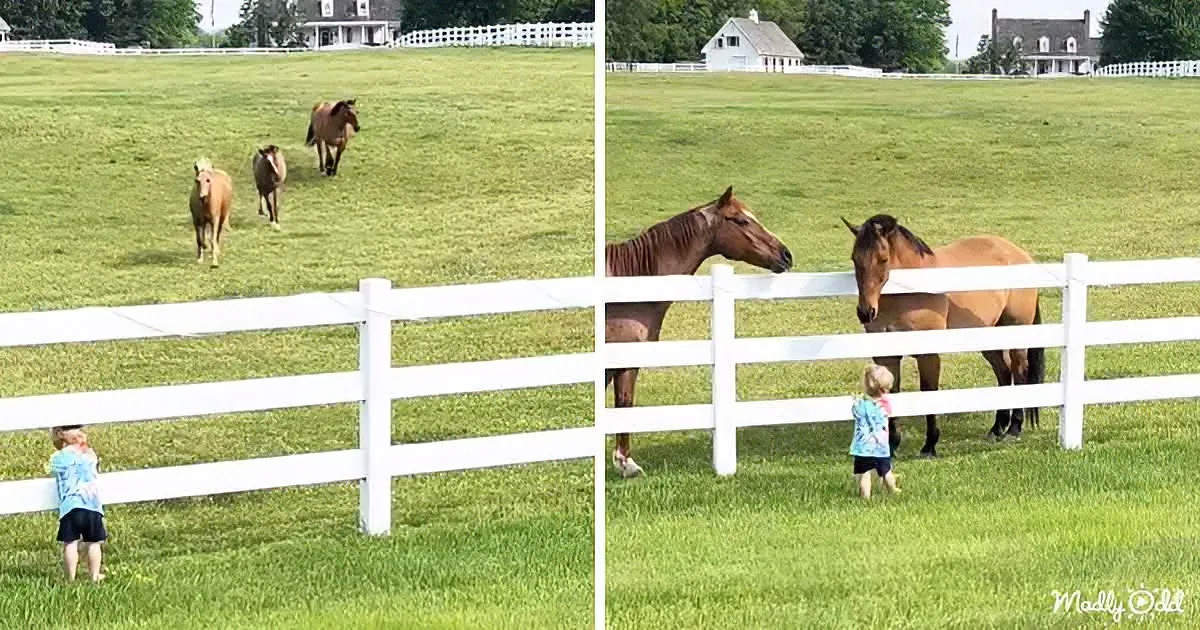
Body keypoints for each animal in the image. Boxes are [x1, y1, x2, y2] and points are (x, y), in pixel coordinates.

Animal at [840, 214, 1045, 457]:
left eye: (883, 258)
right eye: (855, 259)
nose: (865, 312)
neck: (910, 291)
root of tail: (1020, 254)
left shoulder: (928, 355)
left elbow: (929, 393)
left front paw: (930, 445)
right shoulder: (887, 356)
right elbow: (891, 393)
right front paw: (892, 444)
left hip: (1016, 334)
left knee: (1019, 373)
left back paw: (1014, 428)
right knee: (1004, 373)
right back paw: (997, 428)